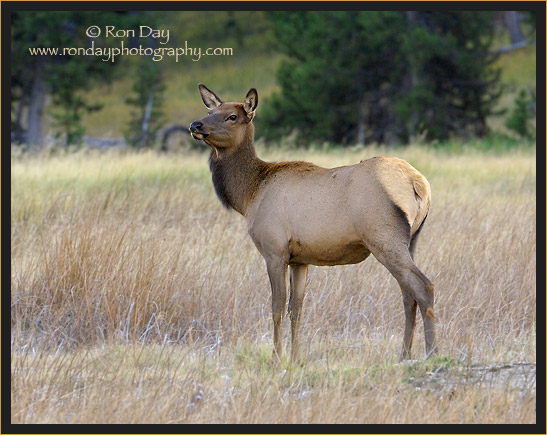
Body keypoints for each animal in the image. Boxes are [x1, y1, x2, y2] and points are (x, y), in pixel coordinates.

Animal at [191, 83, 438, 362]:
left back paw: (432, 353)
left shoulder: (274, 250)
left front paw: (277, 358)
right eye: (211, 111)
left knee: (423, 287)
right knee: (408, 294)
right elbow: (296, 309)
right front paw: (295, 358)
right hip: (411, 240)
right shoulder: (300, 259)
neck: (249, 194)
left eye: (232, 116)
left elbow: (276, 307)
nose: (195, 124)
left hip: (385, 238)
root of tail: (419, 184)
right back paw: (404, 355)